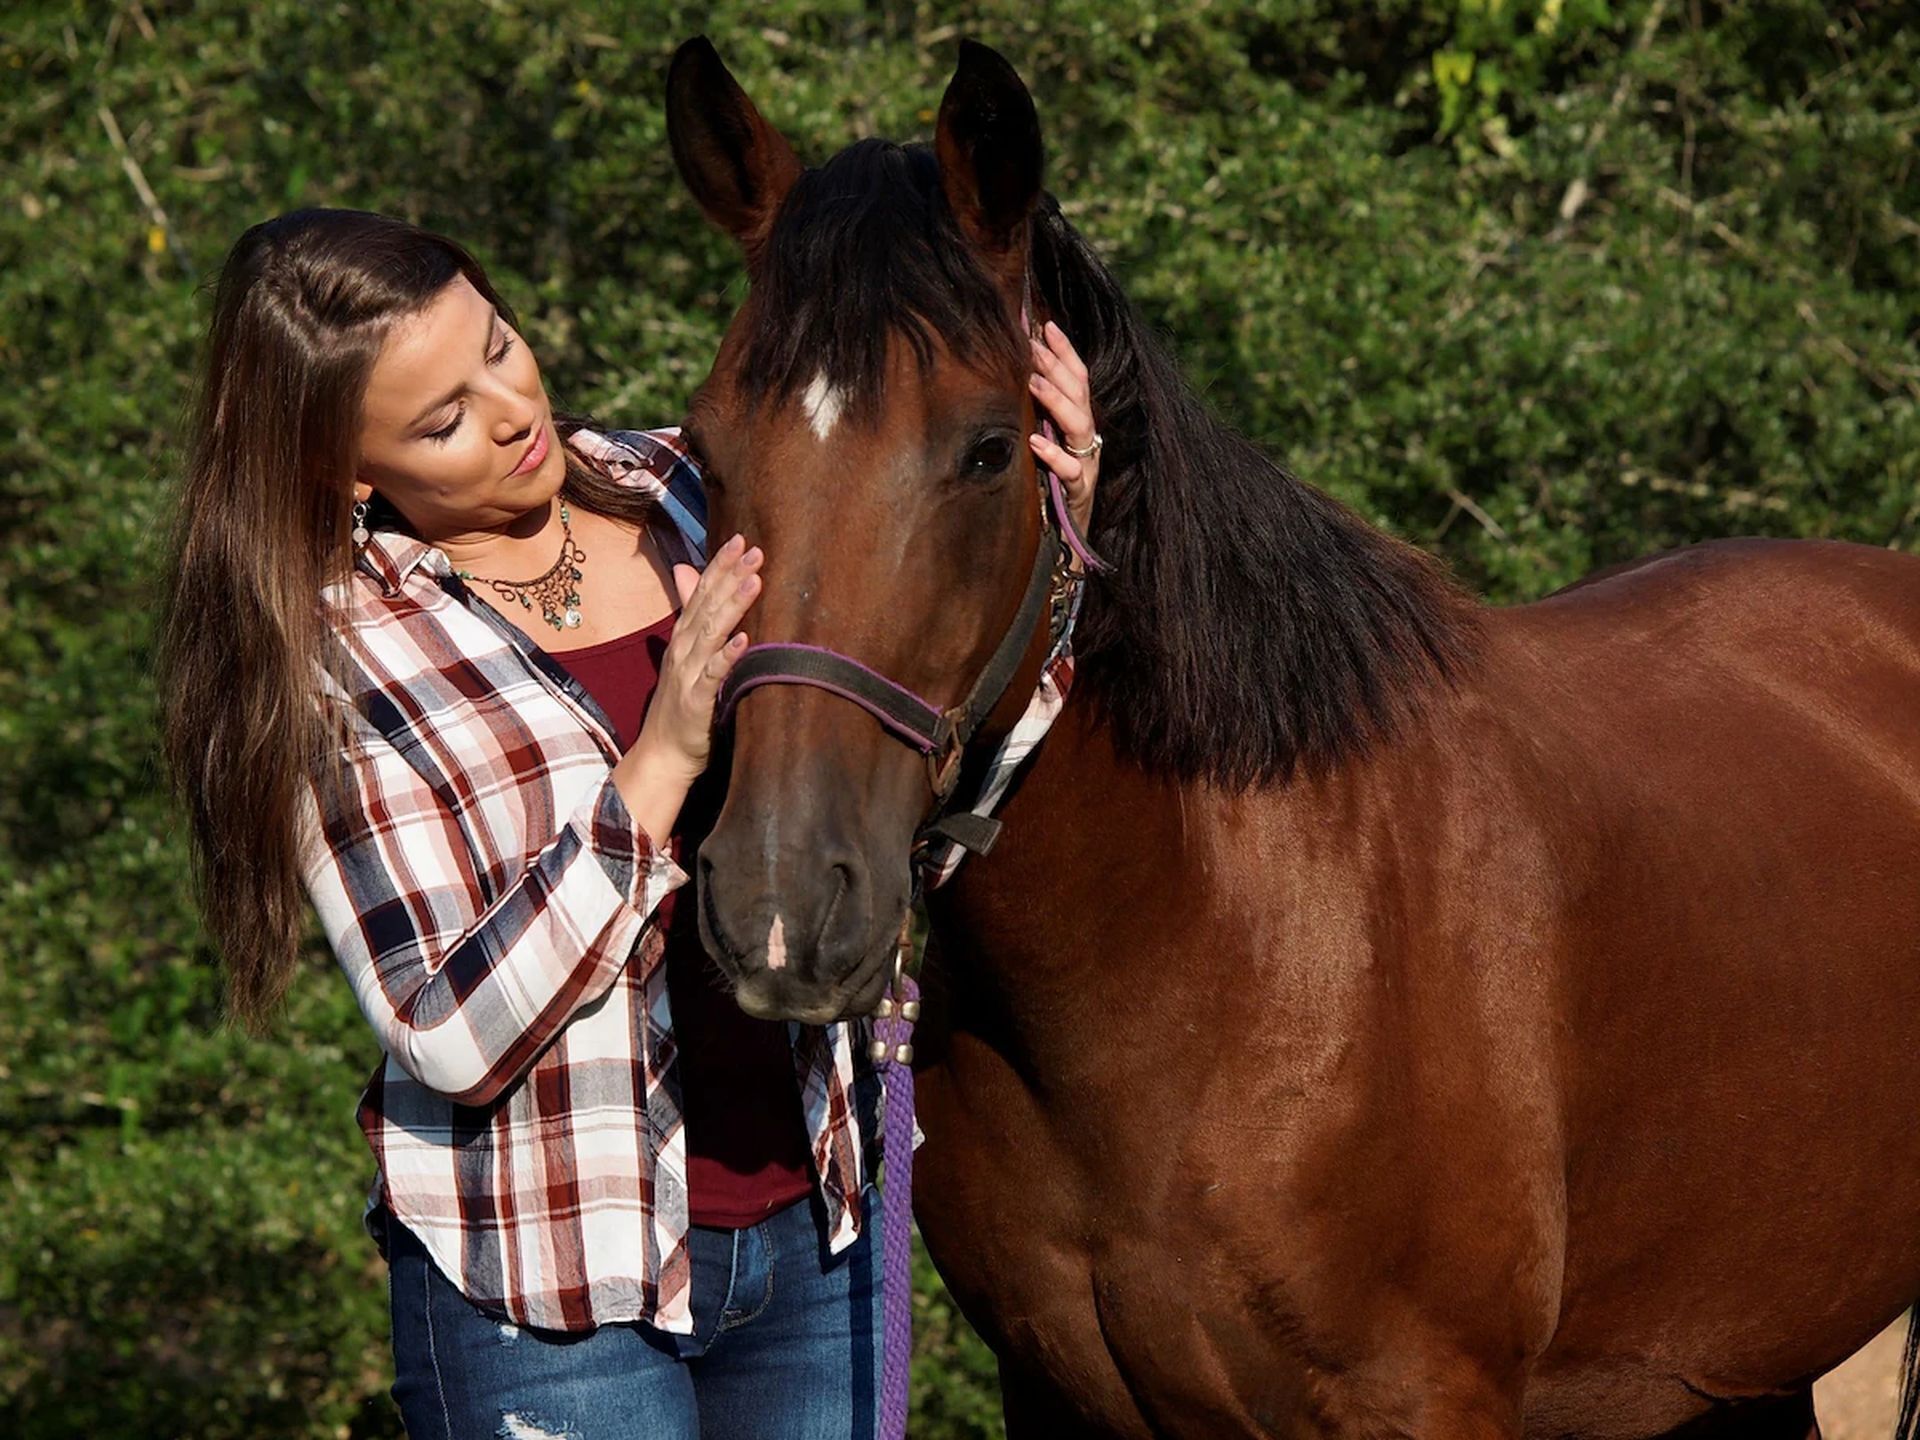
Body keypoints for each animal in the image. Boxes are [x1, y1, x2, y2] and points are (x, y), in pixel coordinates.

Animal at [666, 35, 1920, 1440]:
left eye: (989, 450)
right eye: (708, 446)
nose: (778, 900)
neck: (1220, 935)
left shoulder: (1426, 1401)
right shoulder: (1053, 1395)